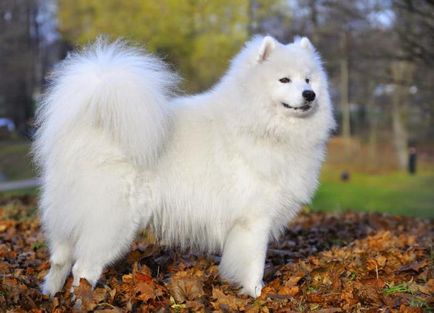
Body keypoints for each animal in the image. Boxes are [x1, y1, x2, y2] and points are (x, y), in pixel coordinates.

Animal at [34, 35, 336, 296]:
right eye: (284, 79)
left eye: (308, 79)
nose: (309, 94)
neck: (257, 123)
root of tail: (90, 128)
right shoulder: (254, 219)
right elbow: (254, 263)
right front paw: (255, 294)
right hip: (112, 222)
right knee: (83, 268)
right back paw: (82, 298)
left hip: (70, 215)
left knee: (59, 260)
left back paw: (50, 294)